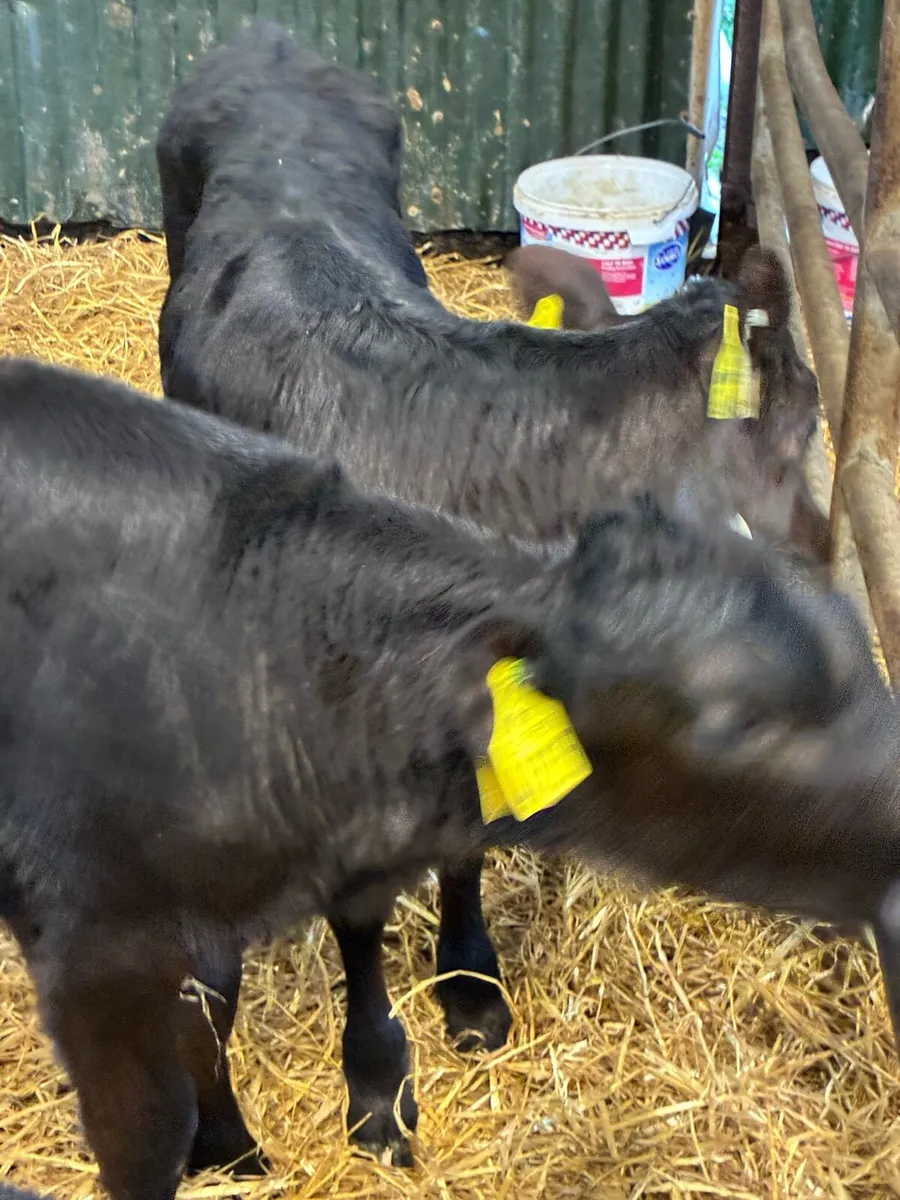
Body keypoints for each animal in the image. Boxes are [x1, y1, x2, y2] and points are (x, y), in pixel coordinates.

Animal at [0, 357, 898, 1200]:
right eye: (733, 721)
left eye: (854, 644)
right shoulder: (95, 959)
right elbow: (152, 1129)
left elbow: (226, 1009)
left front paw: (257, 1140)